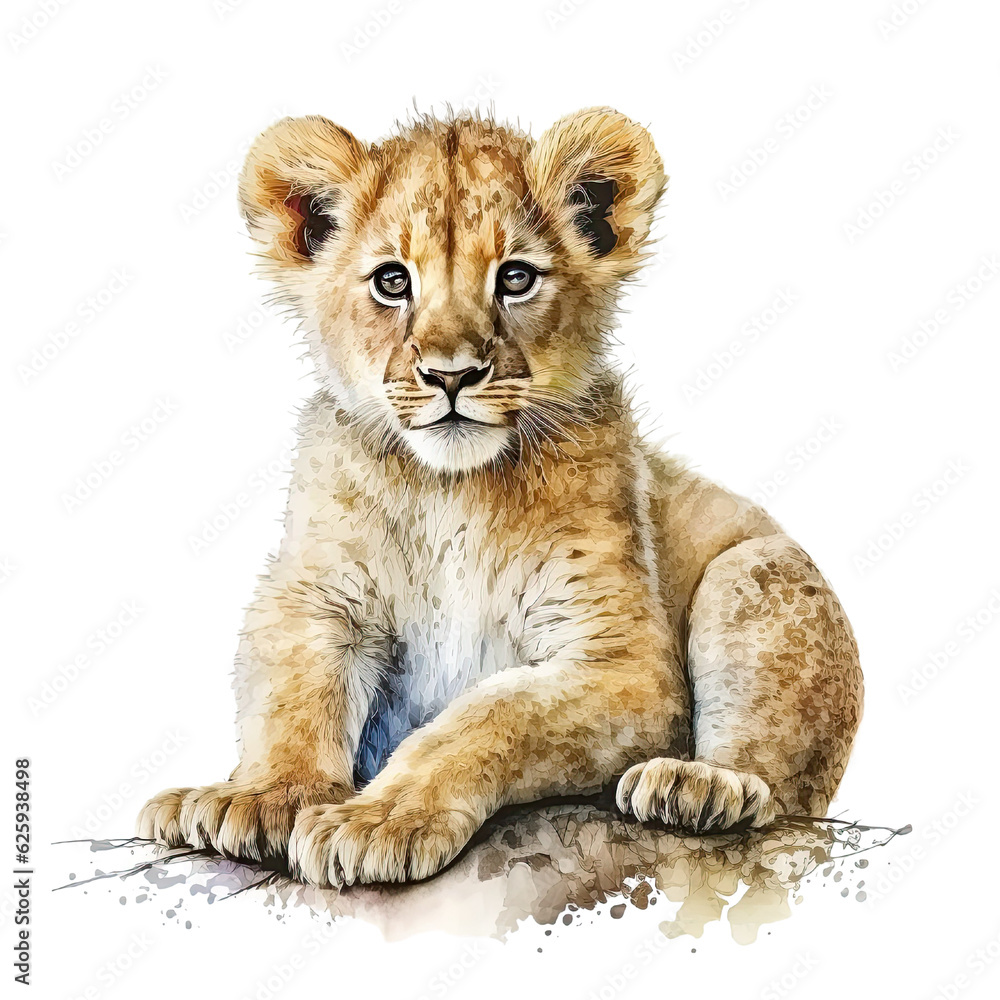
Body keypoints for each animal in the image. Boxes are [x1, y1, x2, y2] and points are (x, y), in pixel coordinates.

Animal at [138, 108, 863, 888]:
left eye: (514, 278)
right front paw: (261, 798)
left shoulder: (623, 660)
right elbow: (292, 695)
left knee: (779, 786)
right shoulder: (316, 593)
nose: (451, 374)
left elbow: (490, 716)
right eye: (392, 281)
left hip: (759, 574)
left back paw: (698, 786)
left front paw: (379, 819)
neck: (451, 491)